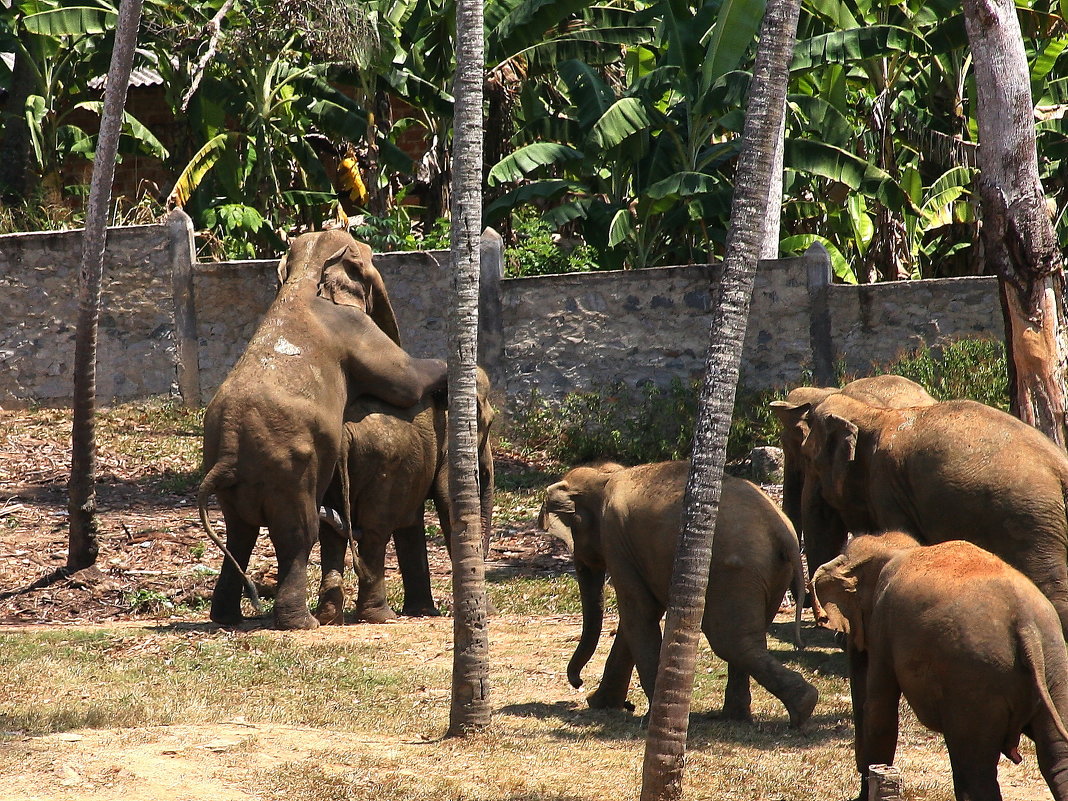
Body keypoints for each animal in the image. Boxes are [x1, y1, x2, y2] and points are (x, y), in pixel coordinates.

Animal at [199, 228, 446, 632]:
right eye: (367, 266)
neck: (303, 275)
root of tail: (229, 453)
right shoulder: (354, 329)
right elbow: (405, 383)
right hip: (287, 471)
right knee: (299, 534)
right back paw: (303, 623)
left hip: (229, 475)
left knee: (240, 534)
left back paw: (228, 618)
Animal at [311, 369, 495, 627]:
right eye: (490, 422)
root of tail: (345, 435)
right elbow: (446, 505)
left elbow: (412, 522)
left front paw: (423, 611)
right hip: (384, 468)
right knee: (375, 533)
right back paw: (380, 616)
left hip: (329, 467)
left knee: (331, 533)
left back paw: (329, 618)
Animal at [538, 457, 820, 726]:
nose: (578, 682)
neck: (604, 476)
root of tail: (783, 531)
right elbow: (638, 617)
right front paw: (601, 703)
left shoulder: (615, 537)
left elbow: (639, 613)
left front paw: (641, 716)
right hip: (770, 572)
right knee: (749, 639)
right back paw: (745, 716)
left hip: (734, 571)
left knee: (730, 641)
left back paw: (801, 707)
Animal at [811, 534, 1068, 801]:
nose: (841, 638)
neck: (894, 547)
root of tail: (1026, 626)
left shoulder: (883, 622)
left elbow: (879, 709)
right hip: (1054, 662)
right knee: (1057, 760)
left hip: (977, 682)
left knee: (974, 770)